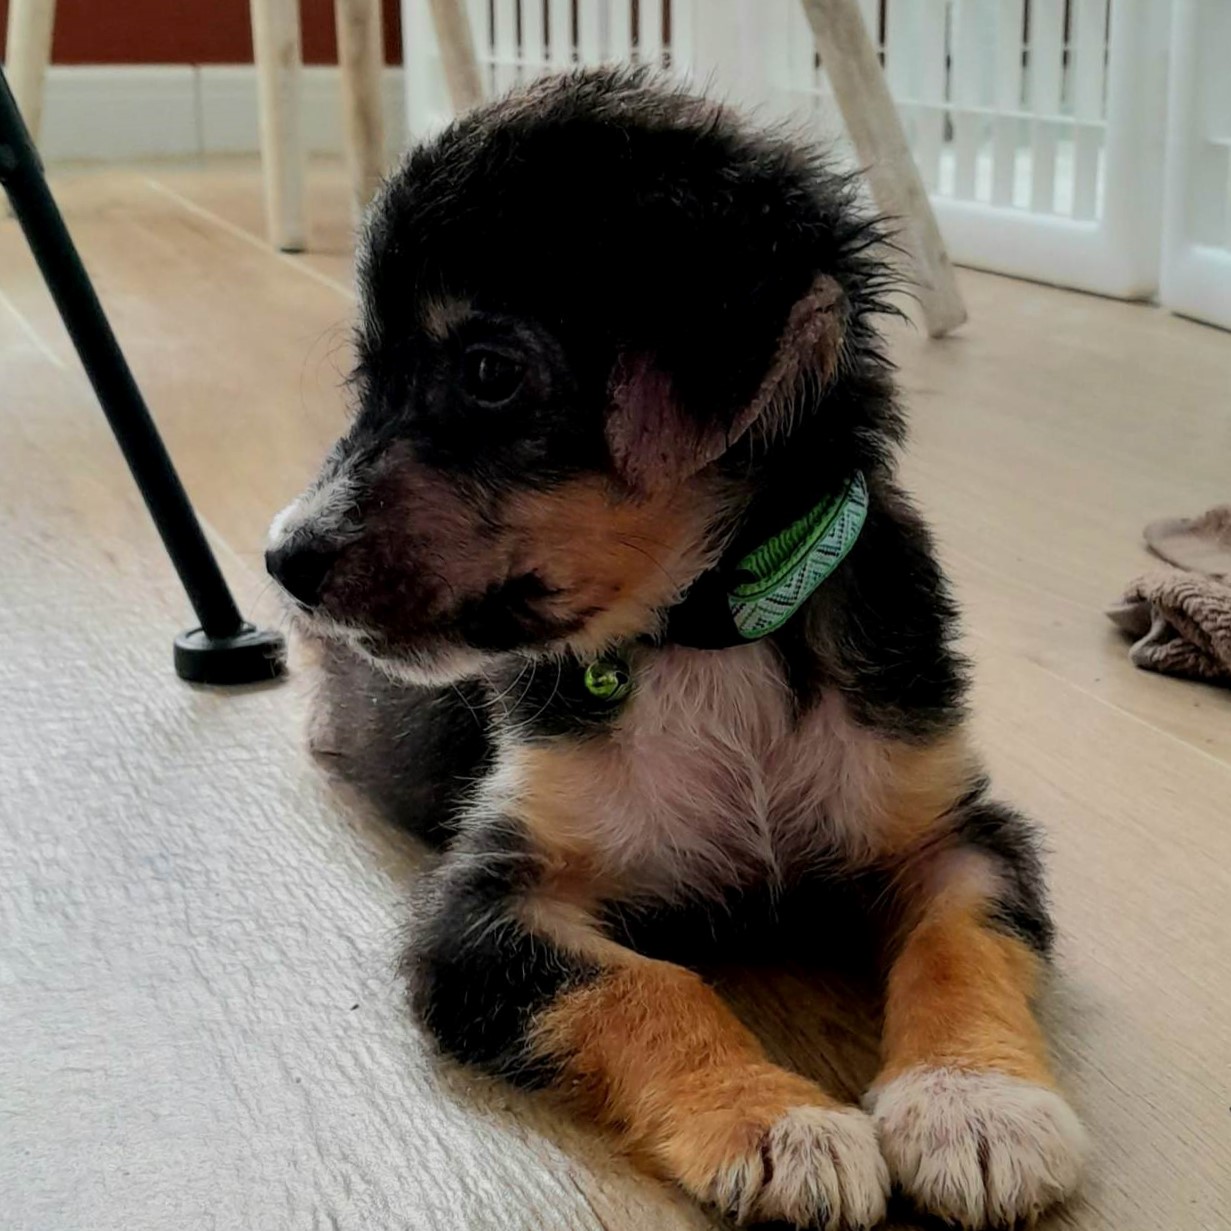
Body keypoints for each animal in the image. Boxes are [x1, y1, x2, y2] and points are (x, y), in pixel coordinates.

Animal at [269, 69, 1088, 1231]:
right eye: (367, 380)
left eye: (487, 370)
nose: (281, 559)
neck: (709, 634)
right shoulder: (480, 908)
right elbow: (648, 982)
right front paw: (770, 1119)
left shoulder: (957, 832)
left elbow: (961, 944)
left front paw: (974, 1100)